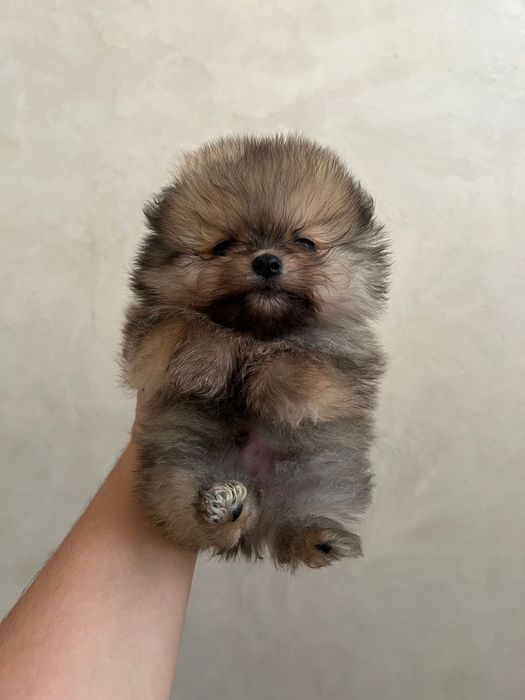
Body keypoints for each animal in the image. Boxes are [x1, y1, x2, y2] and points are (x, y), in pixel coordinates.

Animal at [121, 134, 389, 569]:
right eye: (223, 246)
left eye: (305, 243)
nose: (266, 261)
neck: (257, 331)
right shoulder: (149, 335)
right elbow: (187, 326)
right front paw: (205, 359)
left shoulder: (344, 356)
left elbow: (303, 360)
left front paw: (274, 380)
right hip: (176, 468)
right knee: (186, 516)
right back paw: (224, 510)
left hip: (320, 474)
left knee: (301, 516)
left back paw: (319, 538)